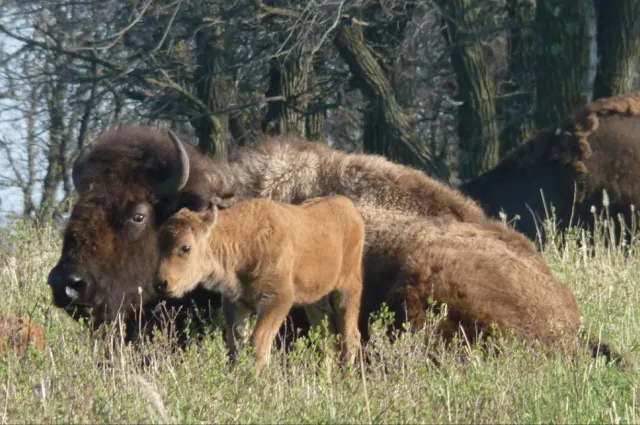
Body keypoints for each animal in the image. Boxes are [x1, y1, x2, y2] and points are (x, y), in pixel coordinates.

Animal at [153, 195, 365, 376]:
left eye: (185, 247)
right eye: (158, 246)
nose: (161, 283)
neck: (241, 241)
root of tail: (351, 210)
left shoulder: (276, 300)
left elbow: (257, 345)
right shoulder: (236, 304)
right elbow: (236, 345)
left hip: (347, 291)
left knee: (350, 338)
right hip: (315, 302)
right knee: (326, 341)